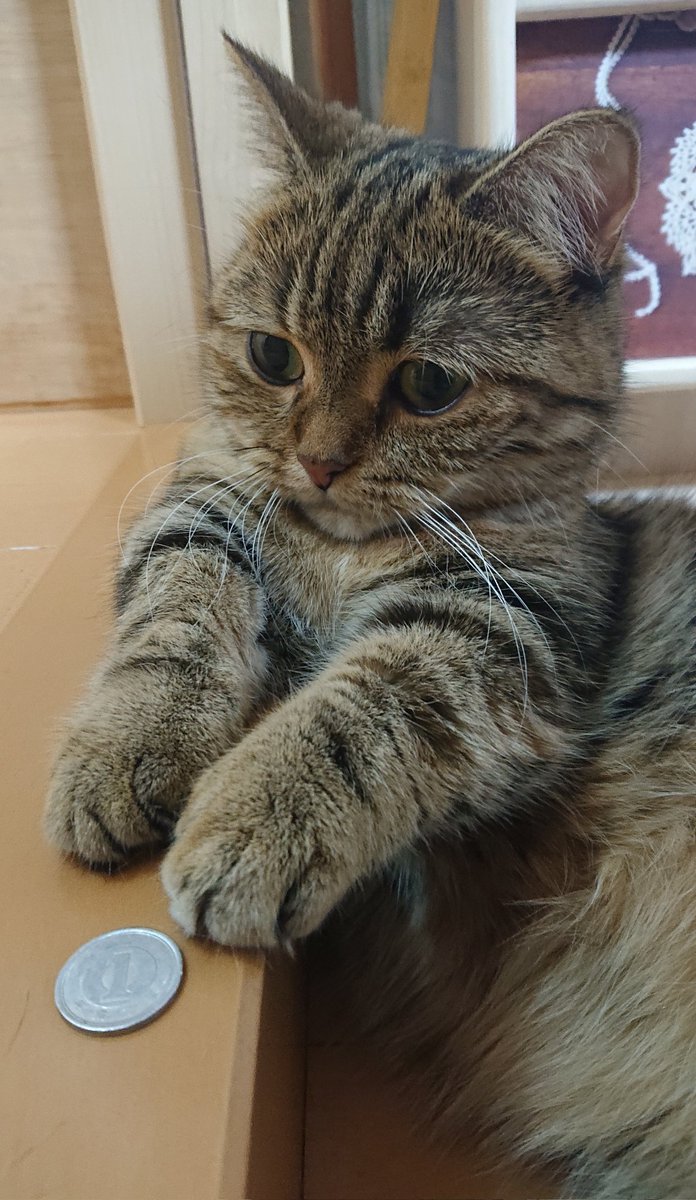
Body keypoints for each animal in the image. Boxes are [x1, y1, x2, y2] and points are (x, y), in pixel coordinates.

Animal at [45, 39, 696, 1198]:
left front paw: (250, 819)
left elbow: (359, 710)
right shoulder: (202, 503)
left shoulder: (502, 633)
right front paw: (127, 746)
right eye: (274, 358)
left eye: (430, 384)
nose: (318, 461)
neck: (342, 548)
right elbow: (174, 611)